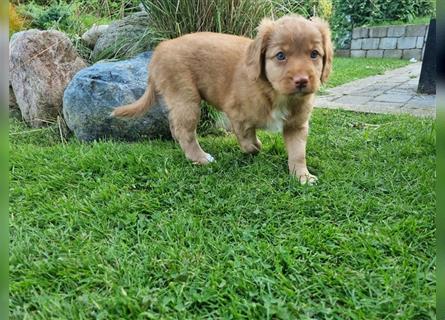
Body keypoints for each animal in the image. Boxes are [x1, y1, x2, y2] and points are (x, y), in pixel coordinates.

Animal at [112, 15, 332, 185]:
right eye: (280, 56)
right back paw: (200, 157)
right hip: (186, 98)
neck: (276, 94)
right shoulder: (237, 115)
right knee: (185, 132)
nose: (302, 81)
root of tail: (159, 49)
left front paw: (302, 175)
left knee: (175, 126)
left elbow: (298, 152)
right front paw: (255, 147)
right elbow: (248, 141)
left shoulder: (297, 125)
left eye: (314, 54)